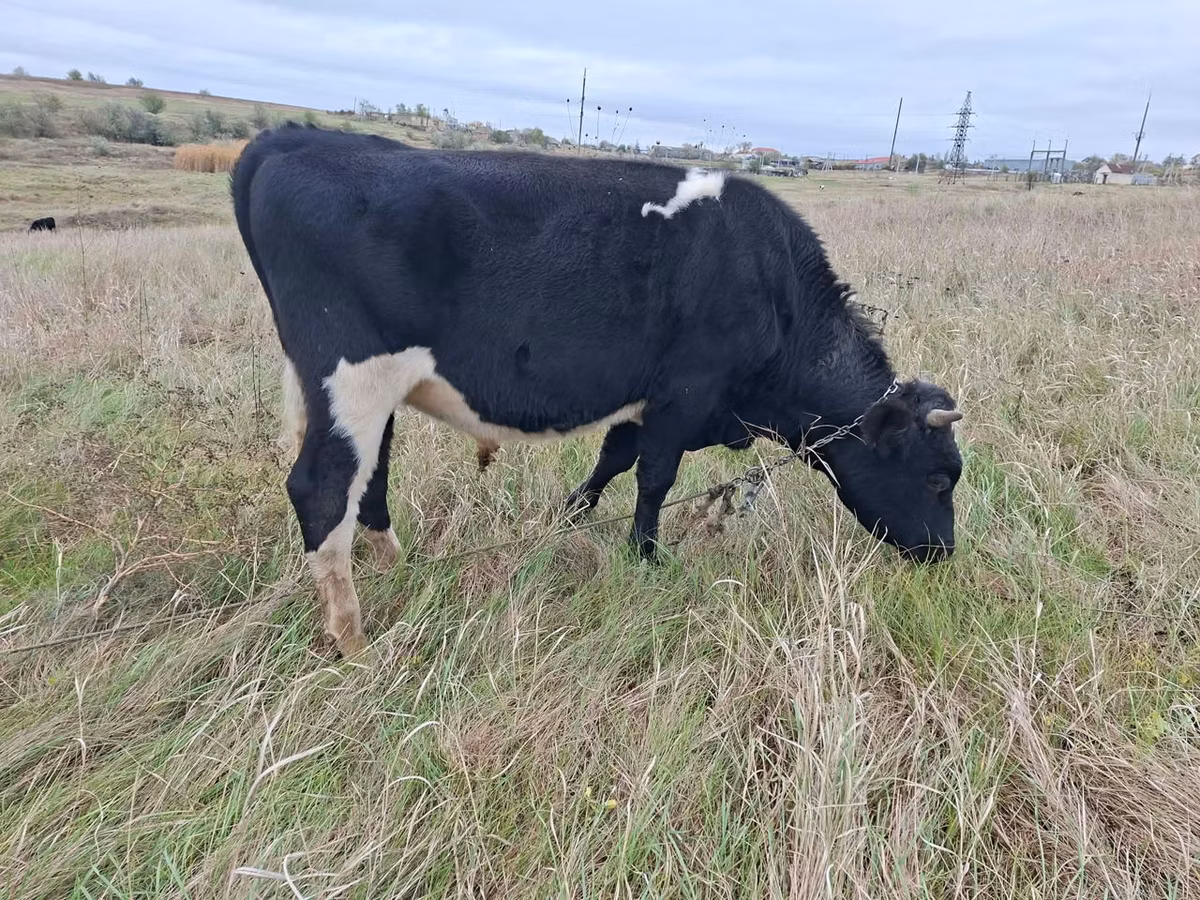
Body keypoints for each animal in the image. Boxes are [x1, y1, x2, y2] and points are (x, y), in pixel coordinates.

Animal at [230, 123, 965, 657]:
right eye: (937, 479)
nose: (943, 554)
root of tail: (293, 138)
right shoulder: (686, 393)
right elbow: (655, 478)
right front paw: (647, 556)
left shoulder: (644, 399)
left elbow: (613, 459)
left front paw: (569, 516)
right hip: (350, 376)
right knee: (322, 489)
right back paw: (353, 640)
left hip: (364, 394)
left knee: (371, 477)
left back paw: (397, 566)